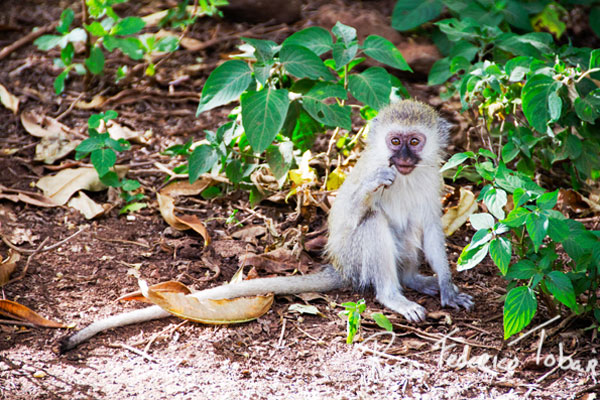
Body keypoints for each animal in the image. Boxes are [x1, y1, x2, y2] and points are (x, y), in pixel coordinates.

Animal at [61, 100, 474, 354]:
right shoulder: (368, 172)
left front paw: (447, 287)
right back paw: (393, 295)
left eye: (414, 142)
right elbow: (348, 215)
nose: (401, 157)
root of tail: (341, 269)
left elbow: (433, 228)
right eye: (395, 141)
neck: (405, 177)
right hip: (356, 260)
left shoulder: (432, 180)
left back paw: (415, 279)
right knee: (370, 225)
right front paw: (376, 184)